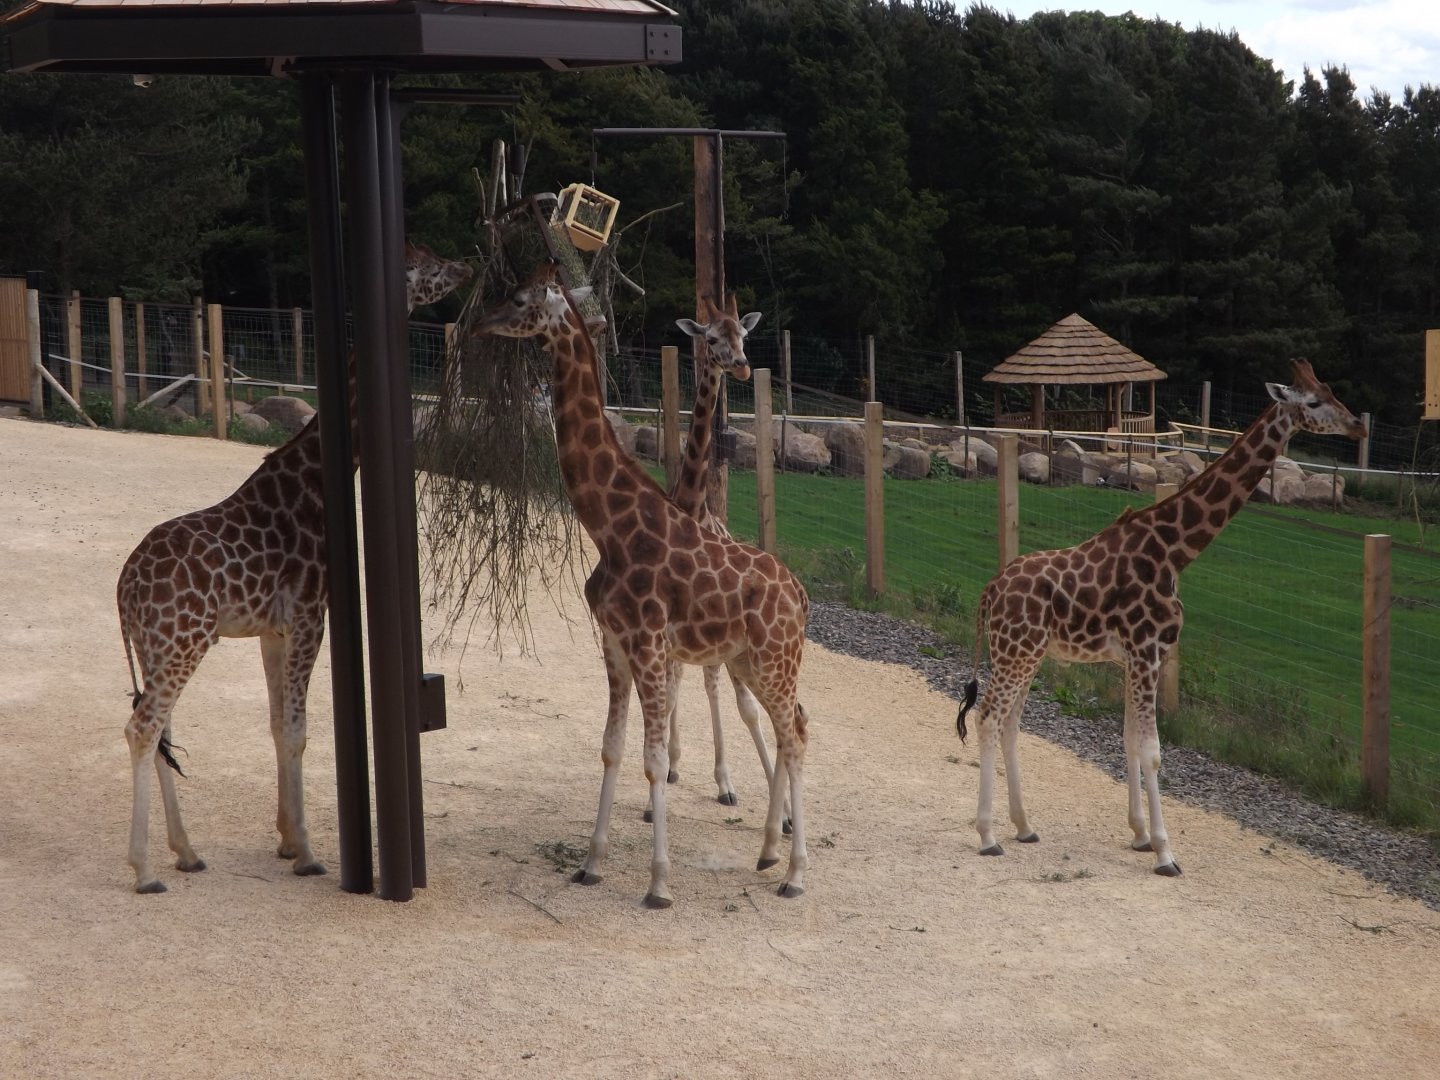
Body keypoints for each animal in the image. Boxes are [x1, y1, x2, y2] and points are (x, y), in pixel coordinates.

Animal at [117, 242, 471, 894]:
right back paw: (146, 868)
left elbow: (279, 725)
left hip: (159, 646)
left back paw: (187, 851)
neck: (318, 478)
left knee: (159, 727)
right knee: (144, 727)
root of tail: (122, 589)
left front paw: (285, 839)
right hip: (183, 641)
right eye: (428, 264)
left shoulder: (273, 630)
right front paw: (307, 852)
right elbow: (302, 730)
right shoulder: (310, 612)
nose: (464, 266)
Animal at [475, 262, 812, 907]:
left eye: (523, 298)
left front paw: (658, 884)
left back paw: (795, 872)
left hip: (771, 659)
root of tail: (801, 596)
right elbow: (612, 748)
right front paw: (591, 863)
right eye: (713, 338)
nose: (481, 321)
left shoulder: (653, 646)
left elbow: (654, 760)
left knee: (796, 733)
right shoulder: (612, 642)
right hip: (754, 660)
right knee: (791, 730)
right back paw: (767, 852)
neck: (609, 527)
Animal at [955, 360, 1366, 876]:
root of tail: (990, 589)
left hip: (1027, 654)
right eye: (1312, 401)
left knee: (1010, 722)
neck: (1175, 553)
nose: (1358, 426)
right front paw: (1165, 852)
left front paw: (1140, 836)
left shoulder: (1136, 657)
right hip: (1016, 651)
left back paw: (1025, 826)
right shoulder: (1146, 650)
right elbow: (1151, 751)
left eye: (1331, 391)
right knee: (989, 717)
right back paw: (988, 836)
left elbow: (1130, 739)